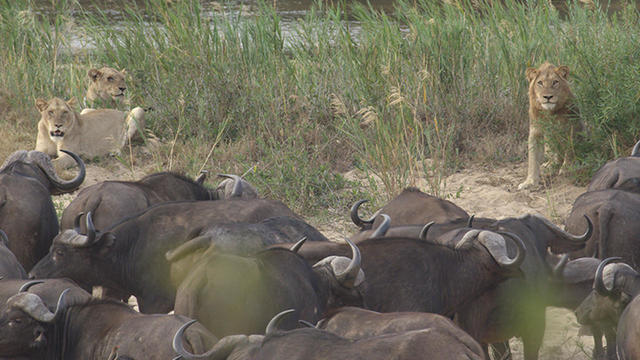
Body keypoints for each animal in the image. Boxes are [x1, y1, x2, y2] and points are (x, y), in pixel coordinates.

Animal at [516, 62, 580, 191]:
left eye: (555, 82)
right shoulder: (535, 133)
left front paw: (567, 168)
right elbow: (532, 159)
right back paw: (549, 165)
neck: (549, 113)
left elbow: (569, 150)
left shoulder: (571, 127)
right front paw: (529, 182)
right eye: (540, 83)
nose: (548, 97)